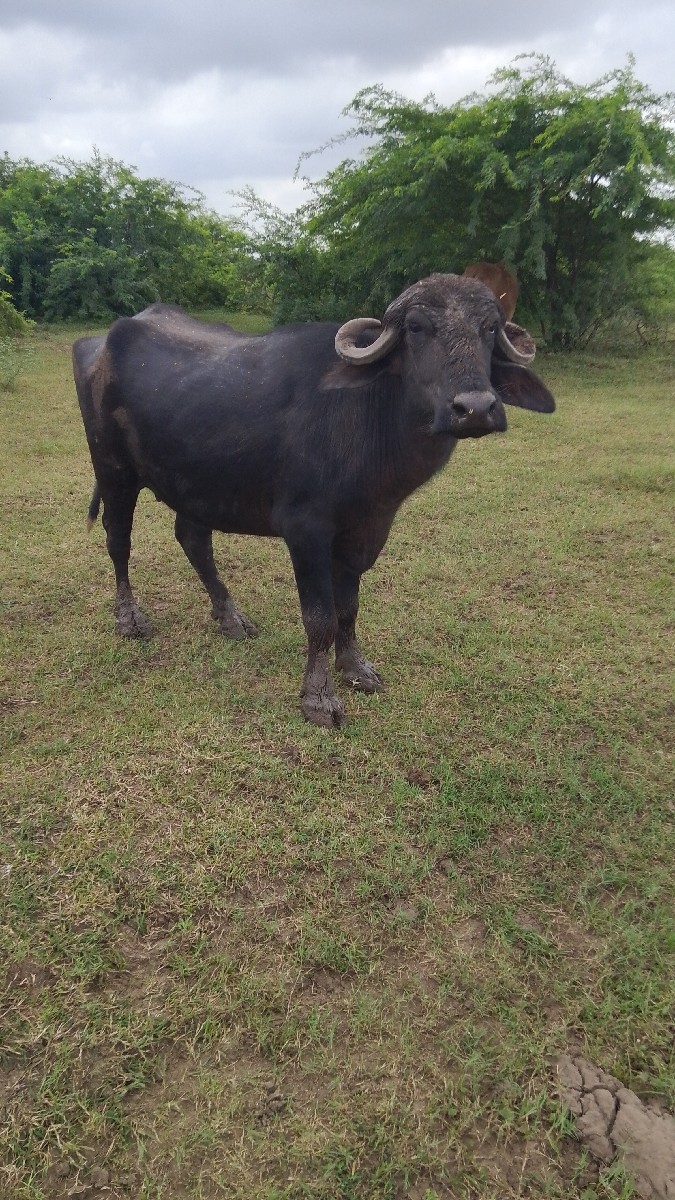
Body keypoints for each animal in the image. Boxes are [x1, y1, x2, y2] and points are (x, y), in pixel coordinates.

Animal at [73, 273, 554, 728]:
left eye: (489, 328)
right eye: (417, 328)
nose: (474, 408)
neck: (367, 419)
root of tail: (99, 341)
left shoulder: (365, 530)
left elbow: (349, 608)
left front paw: (356, 667)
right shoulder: (305, 531)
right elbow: (320, 618)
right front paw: (319, 698)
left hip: (197, 484)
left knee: (192, 539)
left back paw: (230, 616)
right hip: (113, 469)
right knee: (118, 541)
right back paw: (129, 618)